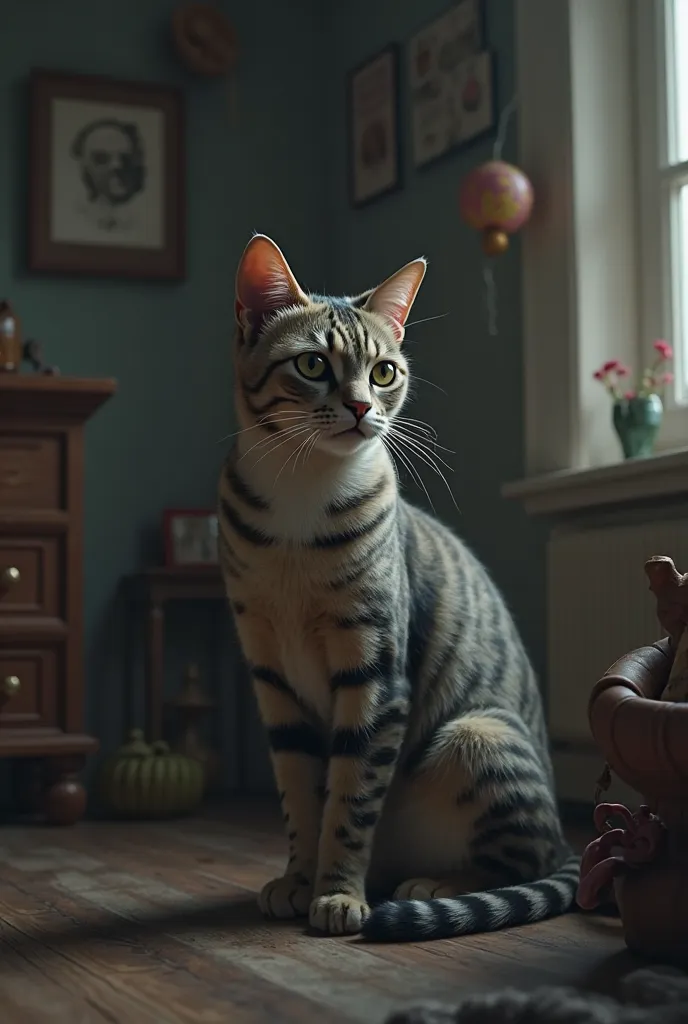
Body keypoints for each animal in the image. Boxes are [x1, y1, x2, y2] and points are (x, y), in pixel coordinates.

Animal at [218, 235, 577, 937]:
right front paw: (298, 880)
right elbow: (301, 796)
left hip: (477, 738)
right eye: (312, 364)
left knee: (522, 865)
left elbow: (350, 801)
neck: (300, 499)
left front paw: (336, 893)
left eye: (384, 373)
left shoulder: (374, 669)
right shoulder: (271, 676)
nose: (361, 407)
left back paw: (433, 885)